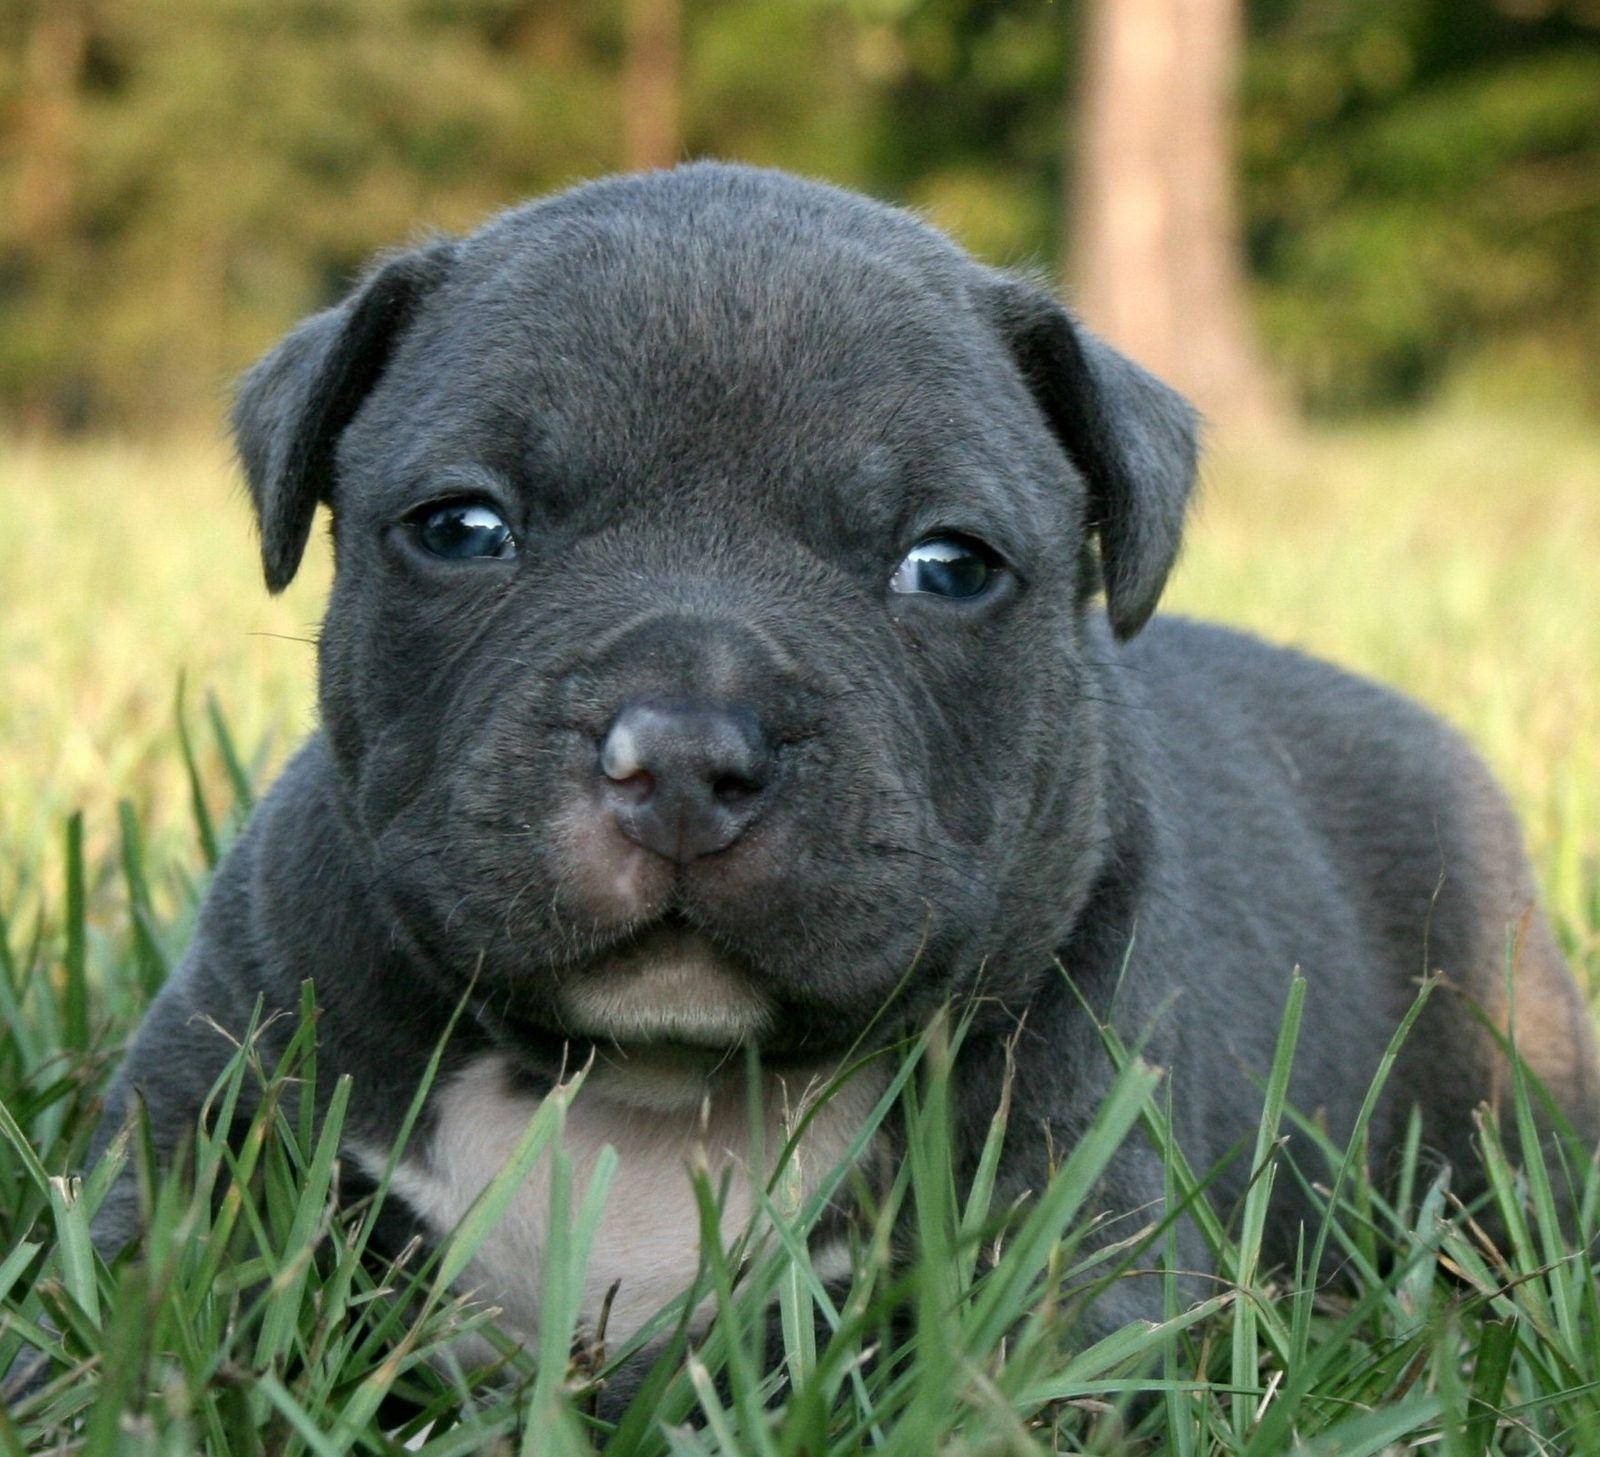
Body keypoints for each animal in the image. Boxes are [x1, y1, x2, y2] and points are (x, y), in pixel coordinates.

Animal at [90, 165, 1600, 1375]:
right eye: (463, 527)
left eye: (949, 564)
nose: (681, 753)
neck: (660, 1084)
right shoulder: (194, 1141)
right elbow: (127, 1328)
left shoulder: (1067, 1260)